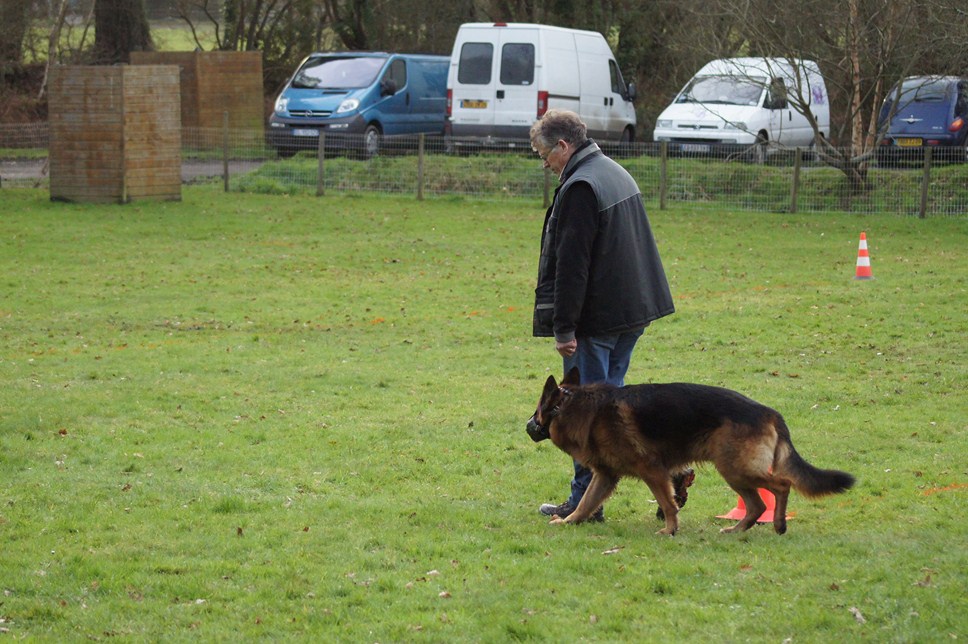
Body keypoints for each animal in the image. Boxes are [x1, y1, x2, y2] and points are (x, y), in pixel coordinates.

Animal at [528, 368, 856, 532]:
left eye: (538, 409)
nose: (527, 425)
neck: (576, 407)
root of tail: (769, 412)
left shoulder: (652, 472)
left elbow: (668, 503)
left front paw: (670, 530)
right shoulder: (606, 477)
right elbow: (585, 503)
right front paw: (568, 521)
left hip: (736, 469)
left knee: (781, 485)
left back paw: (778, 524)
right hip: (734, 473)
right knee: (757, 505)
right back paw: (737, 531)